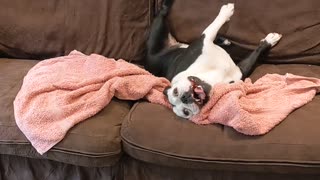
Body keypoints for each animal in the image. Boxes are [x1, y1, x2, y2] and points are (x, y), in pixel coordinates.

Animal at [146, 0, 282, 119]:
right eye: (186, 112)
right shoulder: (240, 70)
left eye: (175, 92)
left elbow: (215, 24)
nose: (184, 98)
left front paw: (226, 11)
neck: (212, 77)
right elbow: (254, 54)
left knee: (163, 9)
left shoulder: (204, 40)